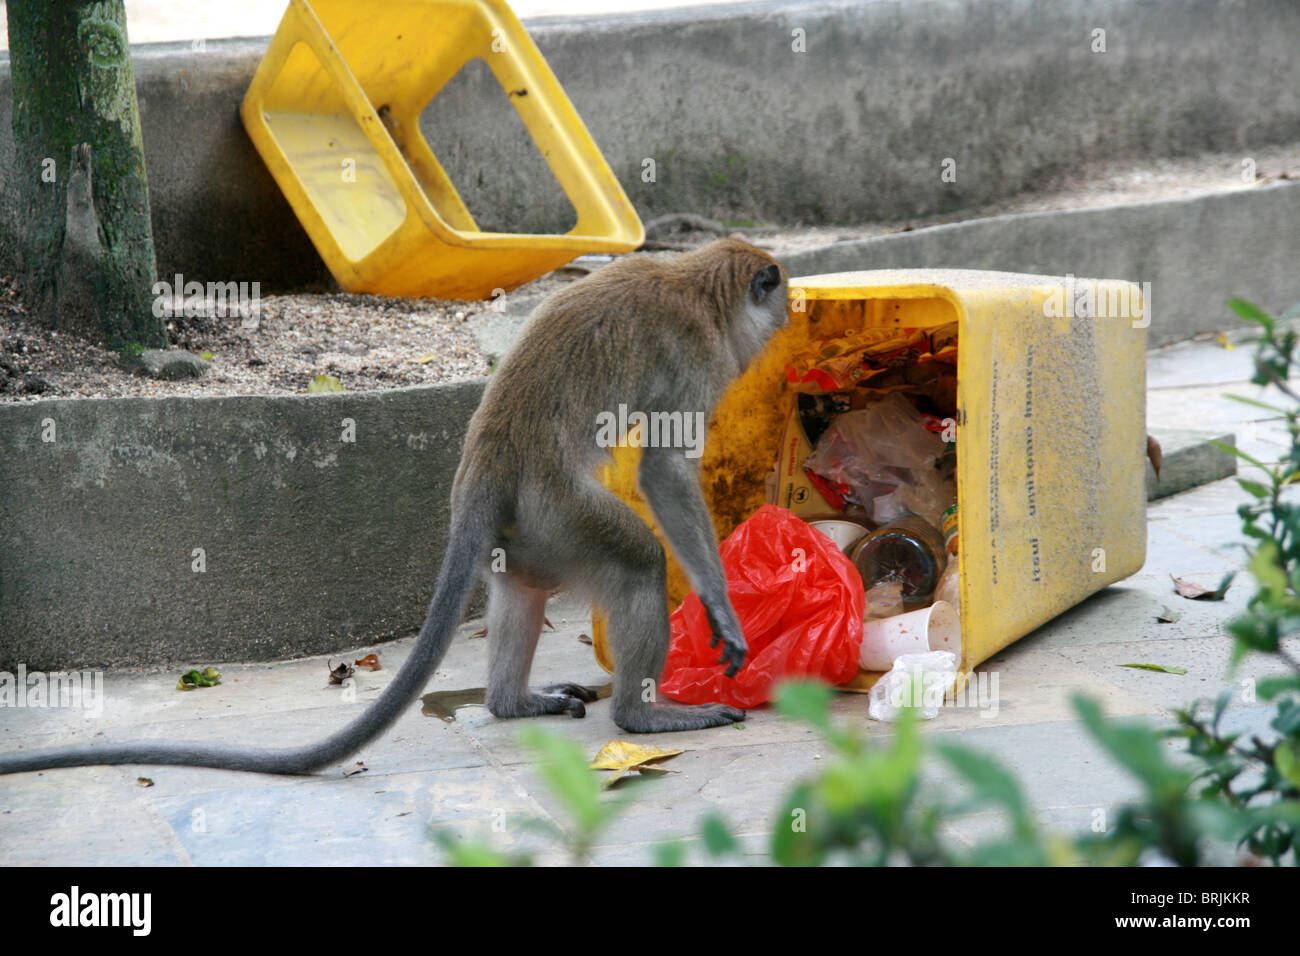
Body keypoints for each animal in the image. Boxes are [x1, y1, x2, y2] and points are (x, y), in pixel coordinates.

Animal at [0, 238, 790, 780]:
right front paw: (722, 608)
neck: (700, 284)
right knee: (634, 560)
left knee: (524, 588)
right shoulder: (696, 360)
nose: (786, 318)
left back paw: (512, 703)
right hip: (561, 511)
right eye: (776, 298)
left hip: (530, 530)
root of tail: (485, 465)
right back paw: (641, 715)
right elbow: (663, 472)